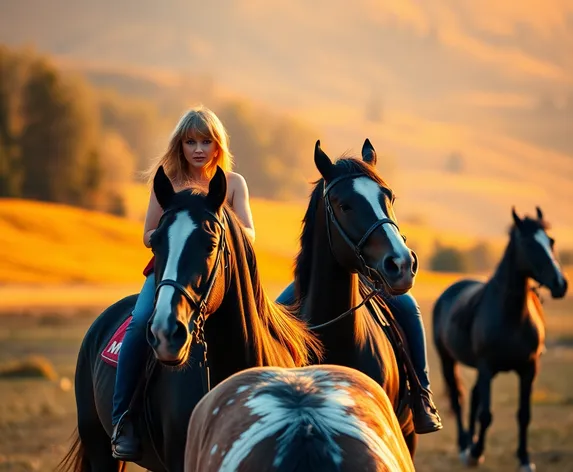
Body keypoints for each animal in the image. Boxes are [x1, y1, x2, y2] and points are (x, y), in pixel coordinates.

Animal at [434, 206, 568, 472]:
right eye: (527, 243)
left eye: (551, 241)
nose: (560, 284)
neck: (512, 316)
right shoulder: (487, 367)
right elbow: (486, 414)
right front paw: (476, 453)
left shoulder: (528, 369)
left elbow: (524, 414)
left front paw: (524, 459)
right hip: (448, 360)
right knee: (457, 399)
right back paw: (465, 447)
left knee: (473, 397)